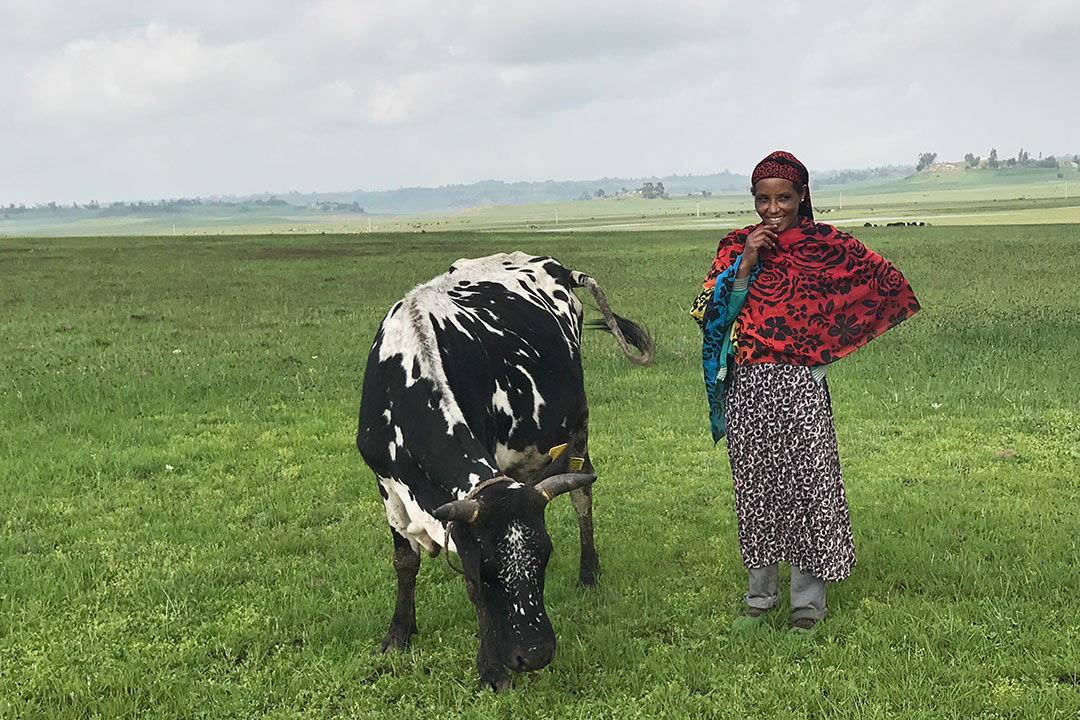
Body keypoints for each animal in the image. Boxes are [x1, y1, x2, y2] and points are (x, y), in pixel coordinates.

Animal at [358, 252, 652, 690]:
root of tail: (553, 265)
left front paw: (491, 669)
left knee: (582, 495)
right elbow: (406, 562)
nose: (535, 653)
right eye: (488, 569)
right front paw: (399, 633)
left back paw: (588, 571)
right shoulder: (387, 484)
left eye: (545, 556)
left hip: (578, 428)